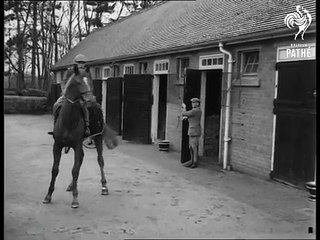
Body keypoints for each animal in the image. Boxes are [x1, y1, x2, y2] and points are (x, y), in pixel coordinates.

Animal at [42, 65, 117, 208]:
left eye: (90, 81)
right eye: (77, 82)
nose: (90, 99)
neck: (68, 121)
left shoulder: (76, 146)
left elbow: (75, 170)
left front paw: (75, 199)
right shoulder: (57, 146)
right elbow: (55, 169)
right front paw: (48, 196)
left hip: (98, 139)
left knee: (100, 160)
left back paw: (104, 187)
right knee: (81, 160)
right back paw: (71, 185)